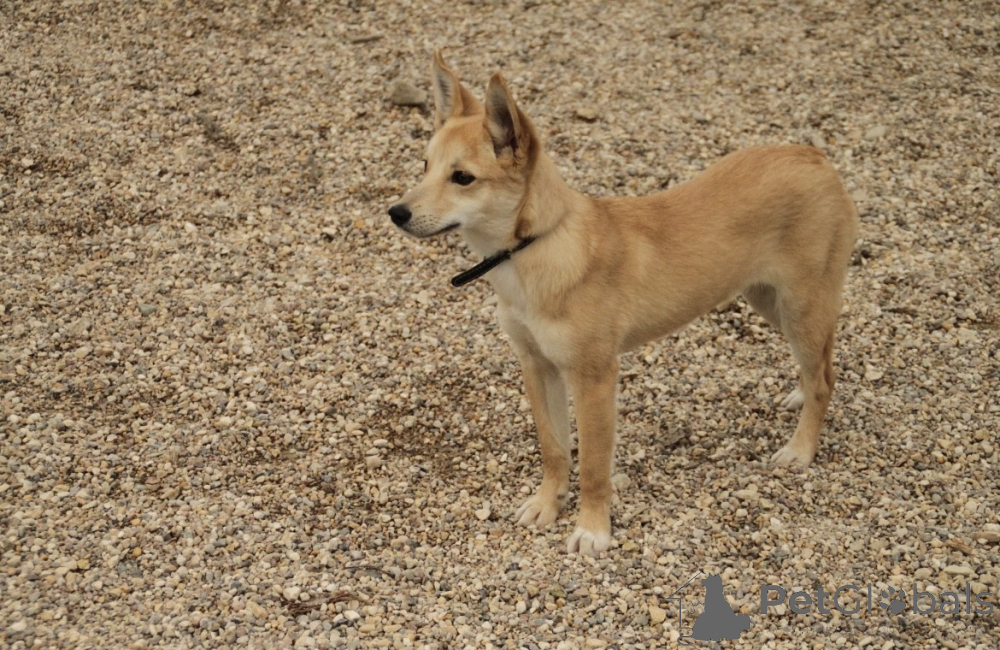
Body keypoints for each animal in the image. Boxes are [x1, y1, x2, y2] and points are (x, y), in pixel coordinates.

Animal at [388, 52, 858, 555]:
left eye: (463, 178)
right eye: (424, 165)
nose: (395, 213)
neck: (536, 246)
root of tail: (816, 157)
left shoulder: (595, 378)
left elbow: (594, 465)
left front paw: (592, 529)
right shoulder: (537, 366)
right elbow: (554, 448)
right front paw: (548, 504)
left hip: (801, 305)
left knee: (824, 378)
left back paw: (800, 448)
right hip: (769, 301)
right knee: (821, 364)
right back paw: (799, 393)